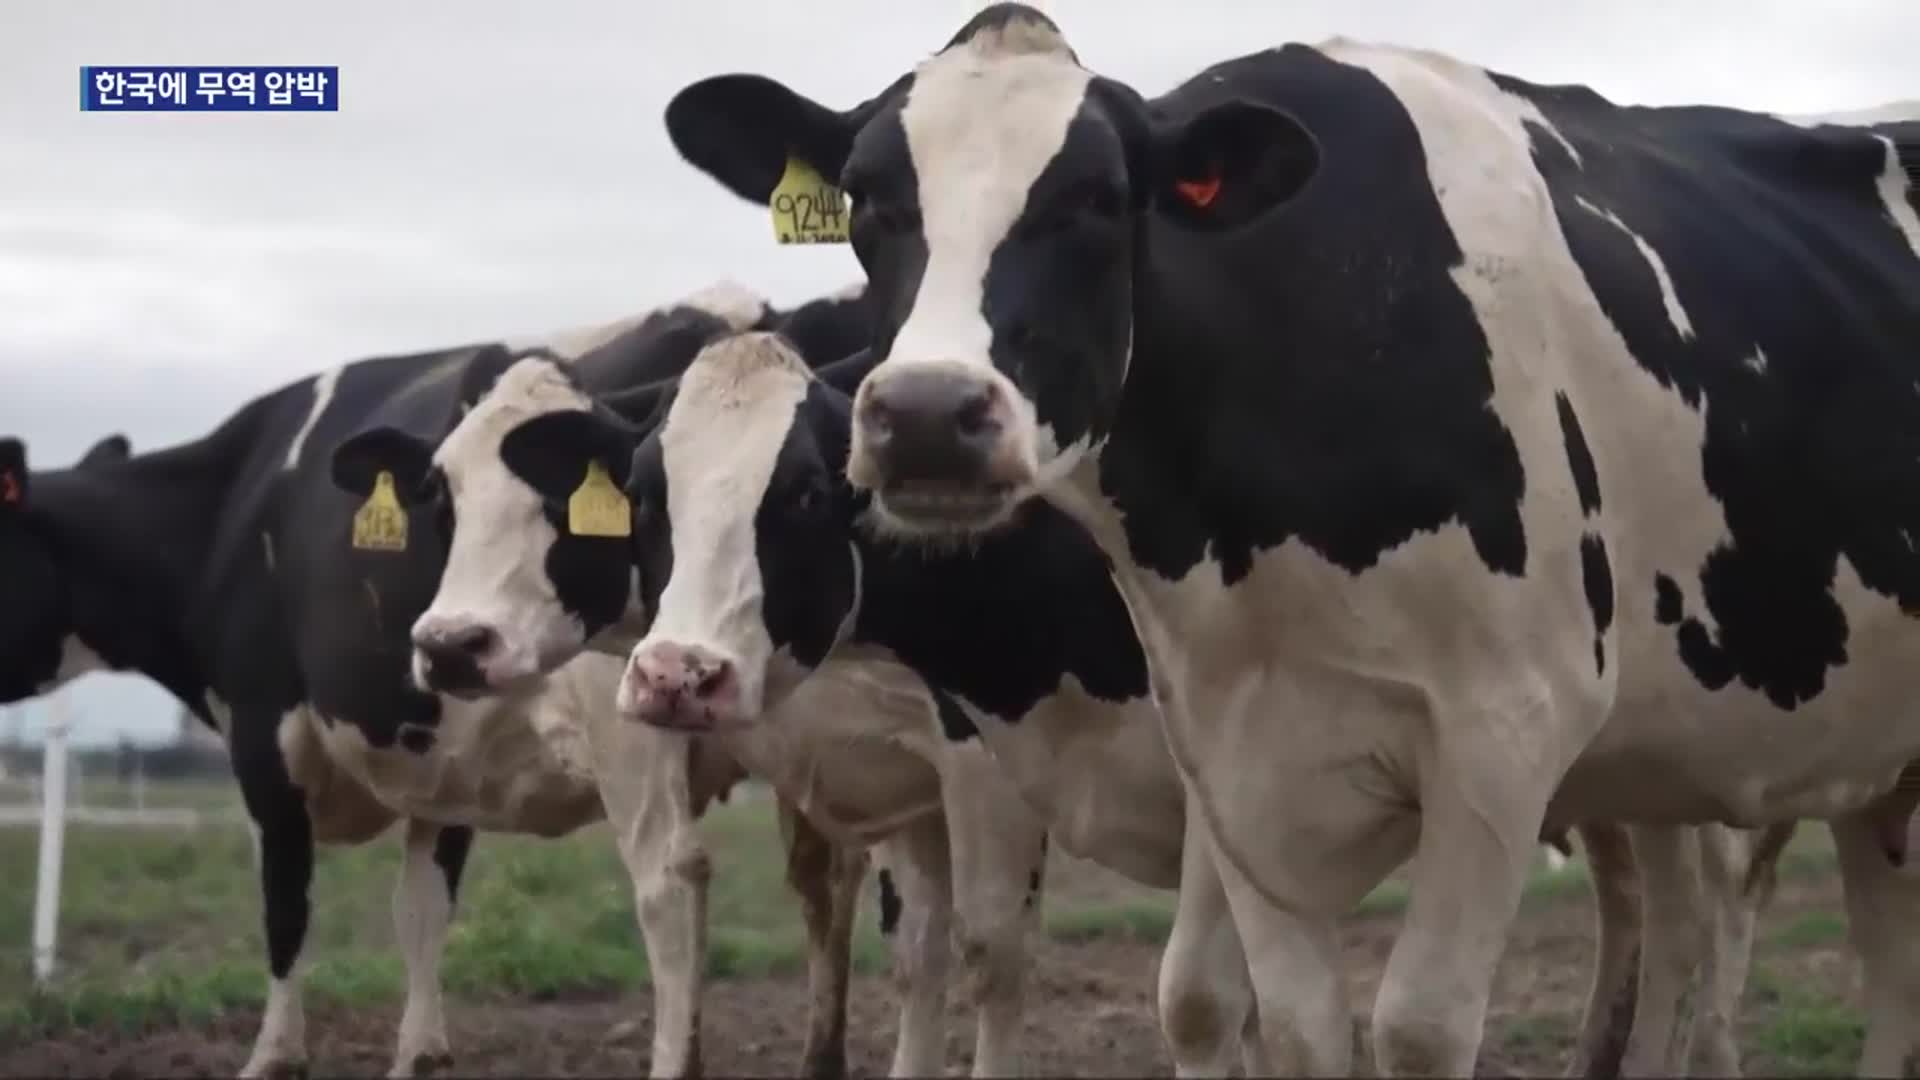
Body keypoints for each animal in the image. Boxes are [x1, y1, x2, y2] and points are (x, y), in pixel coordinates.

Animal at [0, 282, 864, 1068]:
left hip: (643, 706)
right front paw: (421, 1051)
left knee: (671, 882)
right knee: (829, 882)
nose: (450, 644)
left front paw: (275, 1055)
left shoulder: (263, 730)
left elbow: (285, 900)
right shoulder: (446, 766)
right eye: (438, 504)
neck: (229, 507)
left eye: (560, 500)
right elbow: (420, 907)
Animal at [656, 6, 1920, 1068]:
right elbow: (1286, 1022)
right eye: (870, 202)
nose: (925, 415)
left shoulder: (1507, 732)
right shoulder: (1229, 756)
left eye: (1099, 199)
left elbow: (1415, 1027)